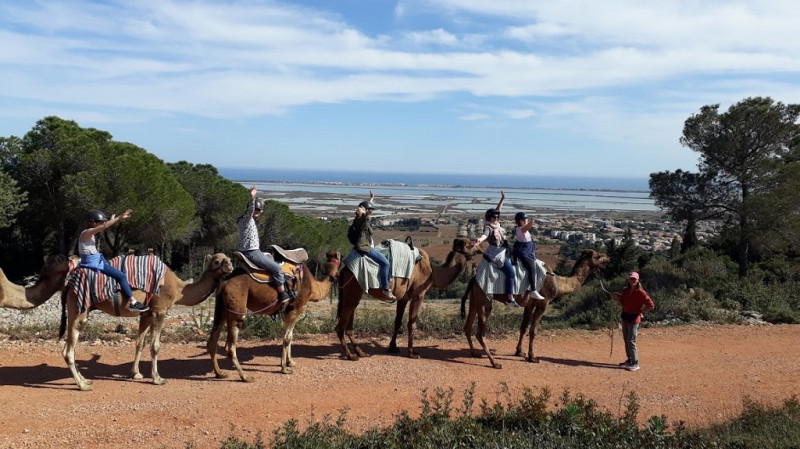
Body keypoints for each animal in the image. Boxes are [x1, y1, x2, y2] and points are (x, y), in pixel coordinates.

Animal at [59, 252, 234, 388]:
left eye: (229, 258)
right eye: (217, 261)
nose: (230, 266)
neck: (179, 290)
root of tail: (68, 283)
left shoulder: (147, 313)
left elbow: (140, 343)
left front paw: (135, 373)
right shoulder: (160, 310)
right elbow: (155, 346)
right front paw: (157, 378)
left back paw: (85, 380)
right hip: (79, 308)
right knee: (68, 349)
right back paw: (82, 385)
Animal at [206, 248, 340, 378]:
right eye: (339, 261)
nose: (338, 274)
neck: (313, 286)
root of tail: (224, 282)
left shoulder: (286, 310)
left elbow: (290, 336)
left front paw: (290, 362)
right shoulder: (297, 308)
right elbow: (287, 338)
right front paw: (284, 368)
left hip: (221, 309)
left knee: (212, 341)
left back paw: (220, 373)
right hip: (237, 308)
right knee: (230, 347)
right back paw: (245, 376)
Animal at [334, 236, 478, 358]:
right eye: (471, 244)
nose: (479, 249)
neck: (433, 273)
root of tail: (345, 269)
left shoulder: (403, 297)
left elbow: (398, 322)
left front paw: (393, 347)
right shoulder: (418, 294)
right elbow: (412, 323)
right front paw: (412, 352)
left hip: (352, 292)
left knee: (349, 322)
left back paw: (360, 352)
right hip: (353, 288)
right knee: (341, 326)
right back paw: (350, 355)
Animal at [460, 248, 608, 368]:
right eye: (598, 255)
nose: (608, 257)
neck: (558, 282)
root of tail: (474, 279)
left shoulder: (529, 305)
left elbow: (523, 327)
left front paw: (519, 352)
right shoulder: (543, 302)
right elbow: (533, 331)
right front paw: (532, 357)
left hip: (474, 298)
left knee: (467, 326)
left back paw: (474, 353)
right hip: (485, 299)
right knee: (480, 332)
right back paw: (495, 363)